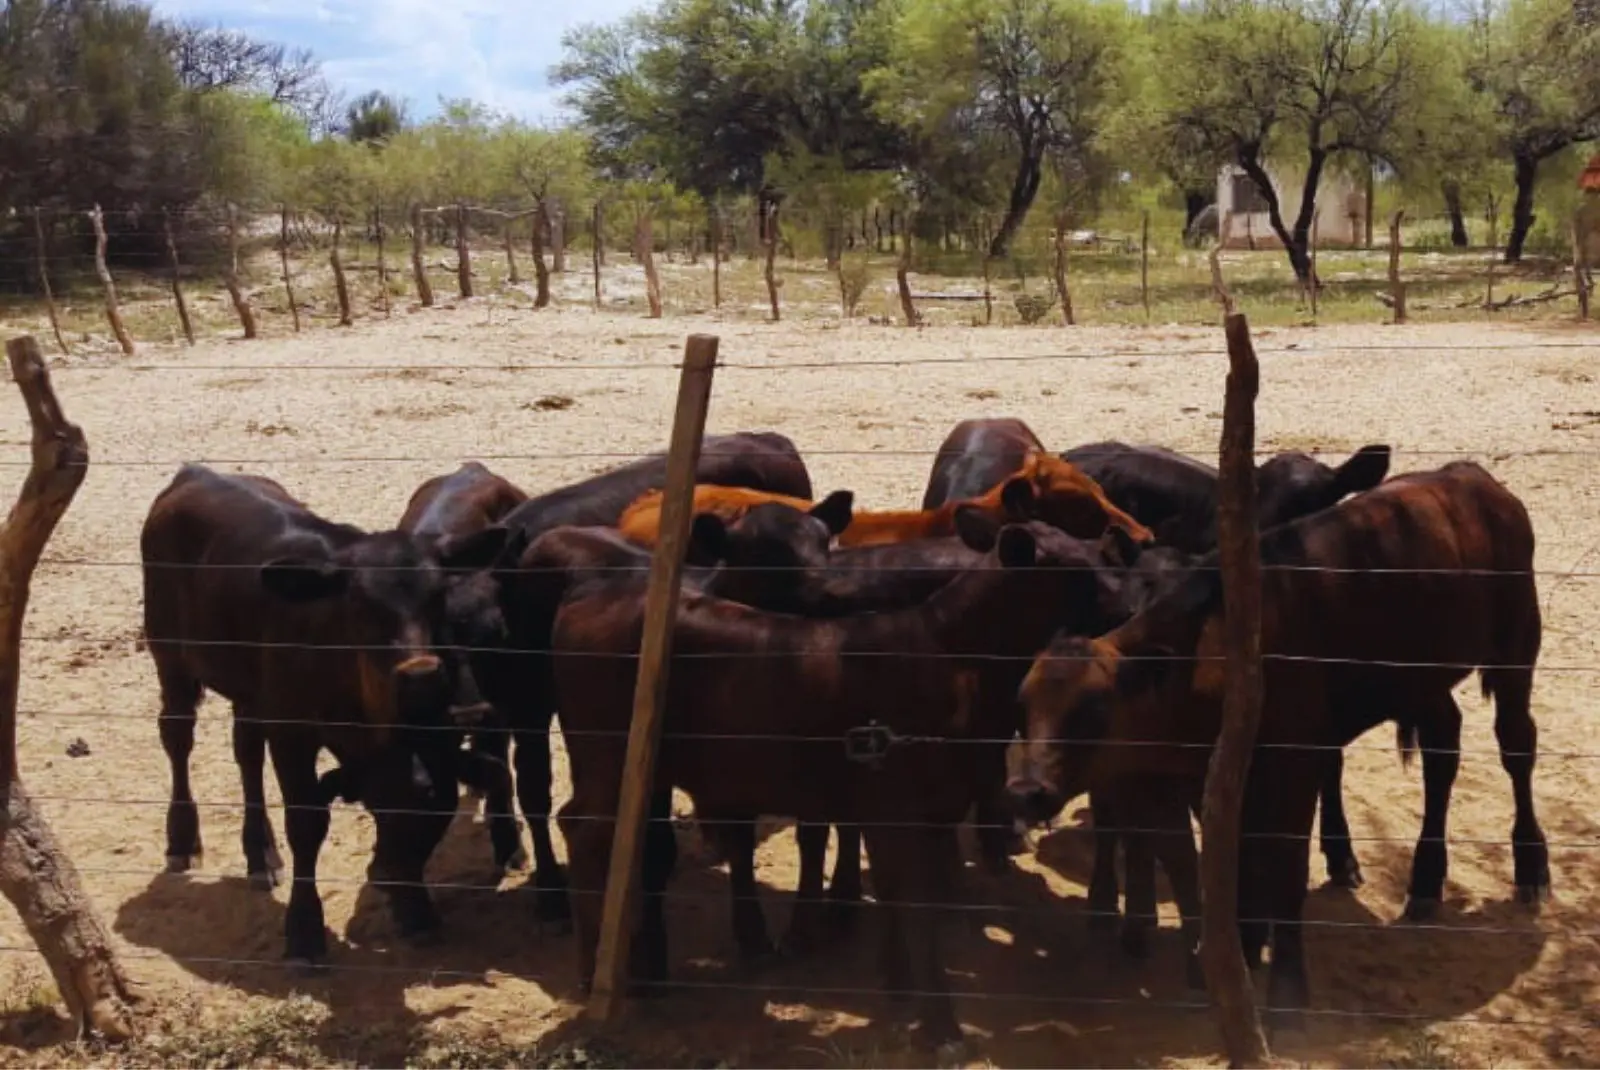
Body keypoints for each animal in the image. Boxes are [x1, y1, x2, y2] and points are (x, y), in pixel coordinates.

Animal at [1011, 460, 1548, 1017]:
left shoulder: (1294, 765)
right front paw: (1244, 953)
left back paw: (1530, 865)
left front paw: (1287, 989)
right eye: (1022, 709)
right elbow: (1240, 864)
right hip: (1423, 682)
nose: (1026, 790)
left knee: (1517, 745)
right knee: (1443, 749)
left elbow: (1284, 873)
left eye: (1093, 713)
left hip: (1516, 649)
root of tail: (1469, 475)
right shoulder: (1224, 776)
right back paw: (1425, 879)